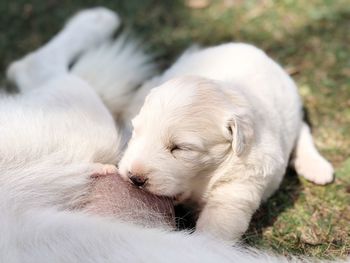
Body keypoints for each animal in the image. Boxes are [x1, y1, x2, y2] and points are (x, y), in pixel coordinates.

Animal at [119, 36, 334, 242]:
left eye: (180, 148)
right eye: (136, 132)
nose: (134, 177)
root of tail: (247, 47)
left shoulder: (238, 187)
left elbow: (216, 227)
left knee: (303, 129)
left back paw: (315, 166)